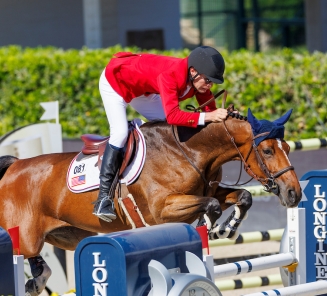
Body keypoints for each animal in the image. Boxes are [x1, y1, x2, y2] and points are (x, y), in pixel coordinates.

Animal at [0, 106, 302, 294]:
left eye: (288, 148)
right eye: (267, 150)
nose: (294, 193)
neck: (187, 151)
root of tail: (14, 167)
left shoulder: (207, 190)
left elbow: (242, 196)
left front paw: (225, 229)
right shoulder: (163, 210)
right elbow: (212, 206)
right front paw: (209, 226)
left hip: (65, 235)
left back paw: (37, 281)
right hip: (25, 235)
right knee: (23, 252)